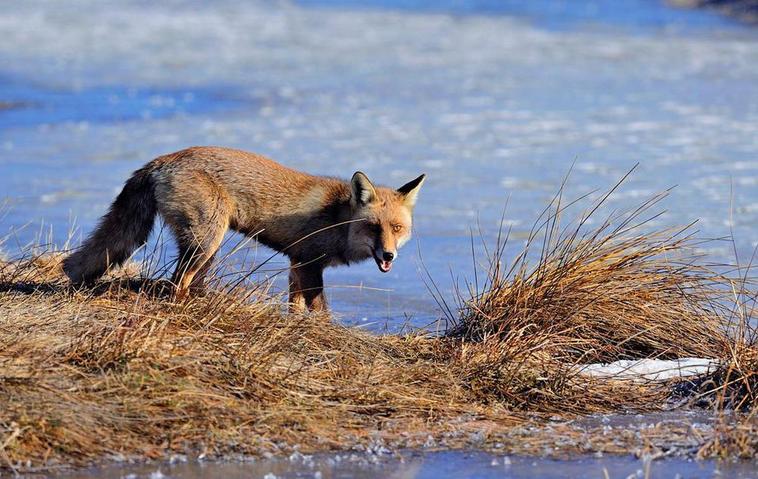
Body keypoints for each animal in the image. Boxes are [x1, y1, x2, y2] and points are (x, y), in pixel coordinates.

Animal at [61, 146, 424, 312]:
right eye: (372, 227)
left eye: (396, 228)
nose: (389, 255)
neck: (337, 218)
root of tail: (161, 160)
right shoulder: (309, 264)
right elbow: (320, 312)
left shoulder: (296, 264)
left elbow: (294, 308)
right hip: (207, 239)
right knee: (177, 282)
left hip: (206, 246)